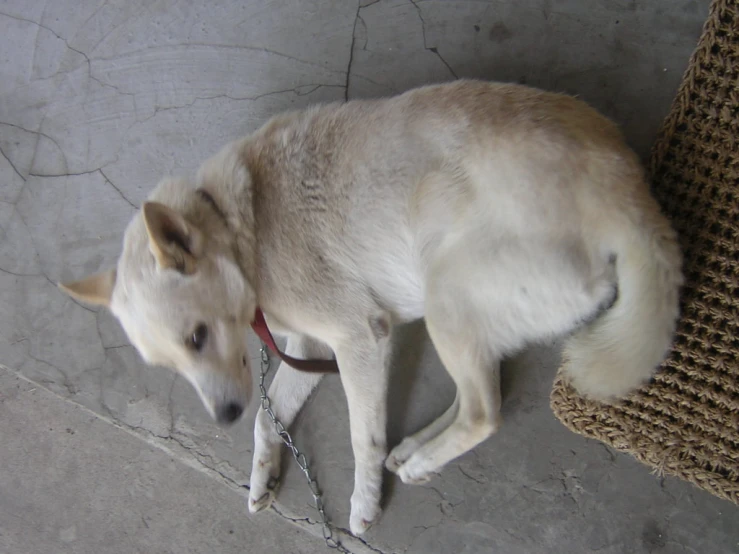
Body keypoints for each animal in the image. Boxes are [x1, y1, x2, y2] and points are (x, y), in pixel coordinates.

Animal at [60, 78, 684, 536]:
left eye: (196, 337)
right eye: (167, 363)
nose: (222, 417)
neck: (239, 225)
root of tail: (629, 195)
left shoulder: (357, 337)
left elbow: (361, 436)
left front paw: (363, 504)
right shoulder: (310, 346)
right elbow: (269, 416)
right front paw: (262, 474)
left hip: (444, 293)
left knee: (485, 412)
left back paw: (422, 459)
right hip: (462, 309)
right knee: (478, 397)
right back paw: (415, 451)